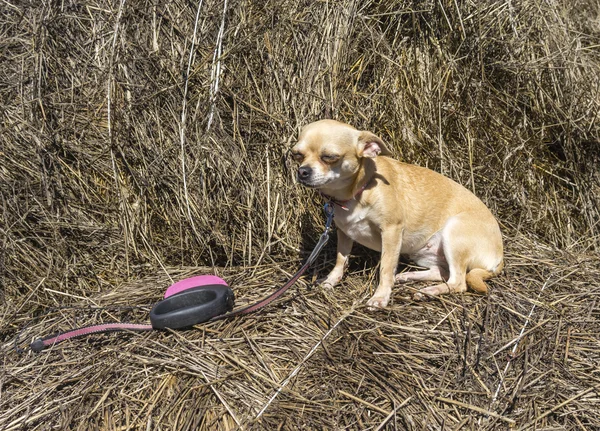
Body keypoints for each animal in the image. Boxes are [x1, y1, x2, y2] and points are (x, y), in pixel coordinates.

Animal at [292, 119, 504, 308]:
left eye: (329, 156)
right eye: (297, 155)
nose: (302, 171)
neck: (358, 191)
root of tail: (499, 257)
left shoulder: (391, 231)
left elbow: (385, 267)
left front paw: (380, 297)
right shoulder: (344, 232)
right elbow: (340, 259)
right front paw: (331, 280)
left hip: (454, 232)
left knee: (458, 282)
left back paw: (428, 292)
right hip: (423, 253)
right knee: (441, 273)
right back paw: (409, 278)